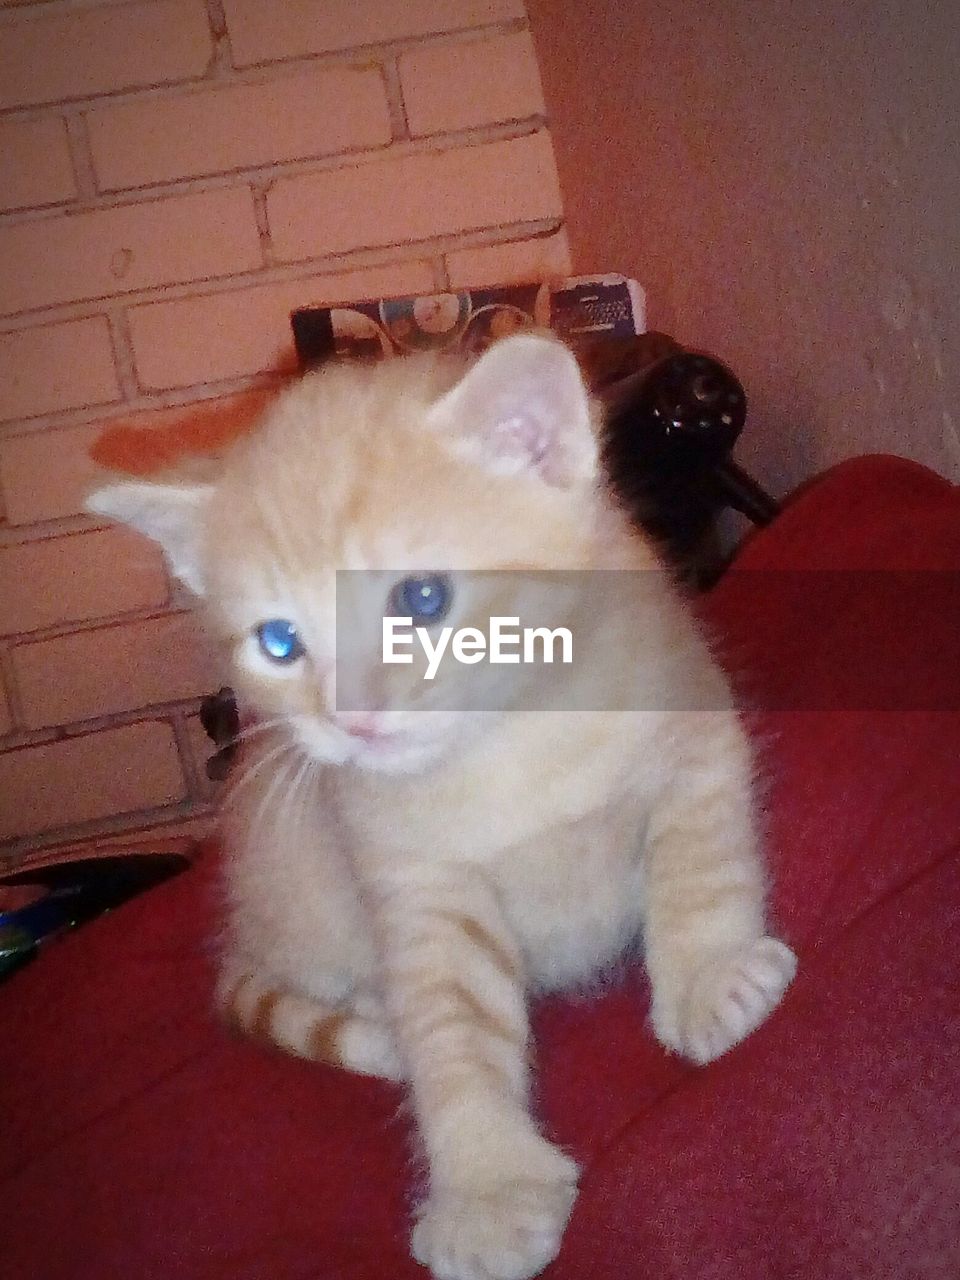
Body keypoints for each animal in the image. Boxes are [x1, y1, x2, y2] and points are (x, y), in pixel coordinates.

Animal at [88, 332, 798, 1280]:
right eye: (279, 641)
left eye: (420, 598)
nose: (350, 719)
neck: (506, 745)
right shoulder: (418, 892)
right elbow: (451, 1026)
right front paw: (489, 1190)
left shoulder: (695, 733)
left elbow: (702, 862)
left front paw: (713, 976)